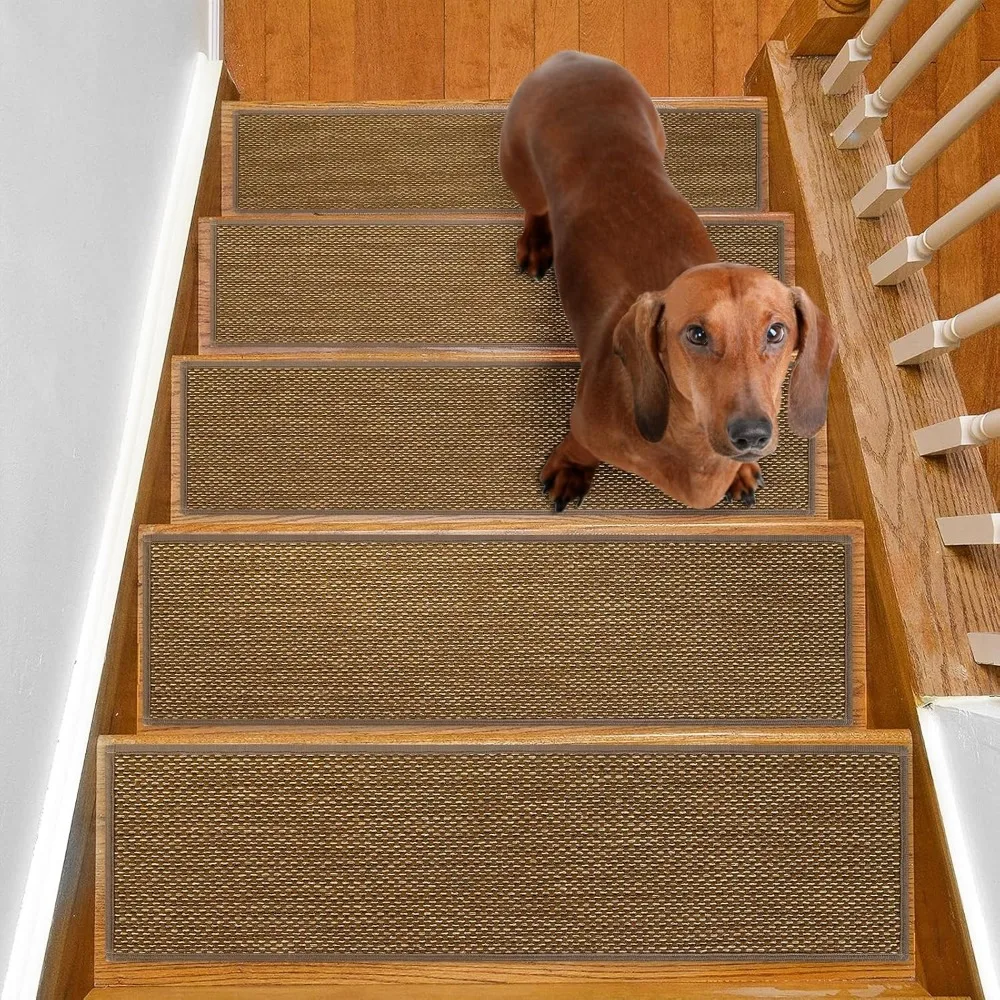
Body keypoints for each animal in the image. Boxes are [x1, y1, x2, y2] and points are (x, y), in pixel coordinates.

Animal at [500, 50, 836, 512]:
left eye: (776, 331)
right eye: (696, 334)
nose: (751, 435)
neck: (691, 440)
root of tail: (571, 58)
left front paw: (743, 472)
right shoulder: (584, 427)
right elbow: (579, 449)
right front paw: (570, 470)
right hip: (520, 169)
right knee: (535, 208)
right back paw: (536, 242)